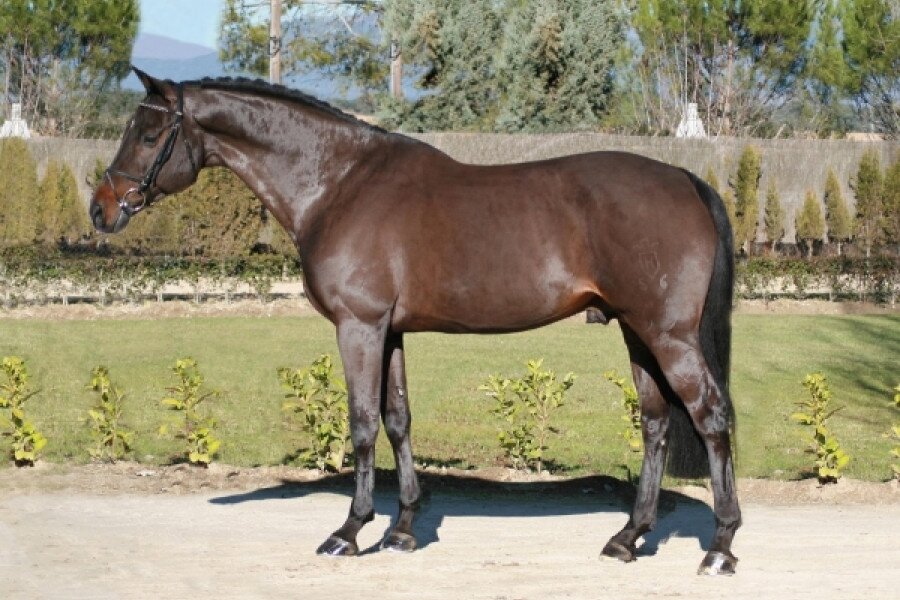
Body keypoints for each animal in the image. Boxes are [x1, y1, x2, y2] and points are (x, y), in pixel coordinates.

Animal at [91, 68, 741, 575]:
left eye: (149, 134)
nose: (101, 209)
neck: (339, 183)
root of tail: (684, 179)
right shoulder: (391, 331)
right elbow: (398, 420)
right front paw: (402, 529)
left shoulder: (358, 326)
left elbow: (361, 424)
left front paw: (349, 531)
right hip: (638, 332)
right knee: (656, 423)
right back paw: (628, 537)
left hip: (667, 335)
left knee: (711, 418)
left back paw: (720, 547)